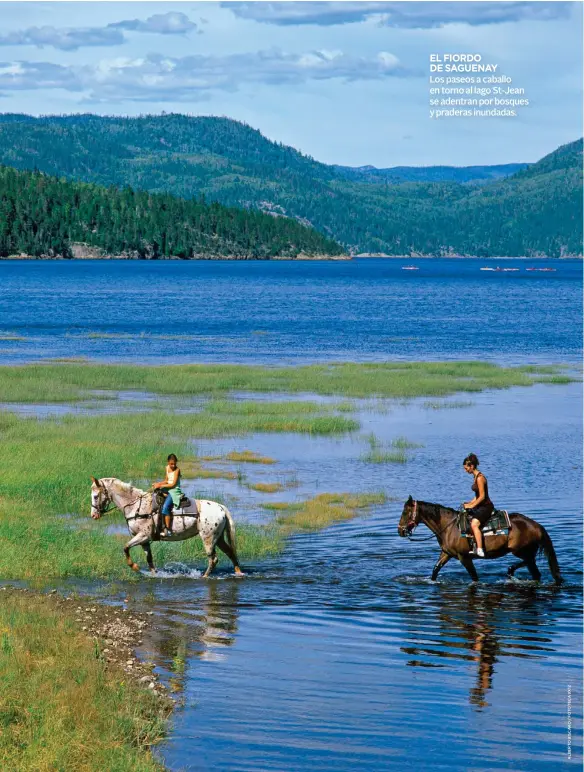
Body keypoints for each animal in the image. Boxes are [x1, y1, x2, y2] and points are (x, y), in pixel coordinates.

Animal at [88, 476, 242, 580]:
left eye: (95, 496)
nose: (93, 515)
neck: (136, 506)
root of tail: (221, 507)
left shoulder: (144, 536)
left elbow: (125, 547)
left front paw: (135, 567)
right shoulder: (144, 541)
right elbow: (150, 560)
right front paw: (153, 574)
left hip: (208, 538)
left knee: (213, 559)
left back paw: (204, 576)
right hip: (218, 538)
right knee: (230, 552)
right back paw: (239, 572)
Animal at [396, 494, 560, 584]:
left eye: (405, 512)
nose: (400, 531)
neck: (449, 527)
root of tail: (536, 525)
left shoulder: (464, 557)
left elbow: (474, 577)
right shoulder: (447, 553)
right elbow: (435, 570)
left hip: (521, 551)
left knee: (531, 565)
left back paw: (510, 571)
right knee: (534, 572)